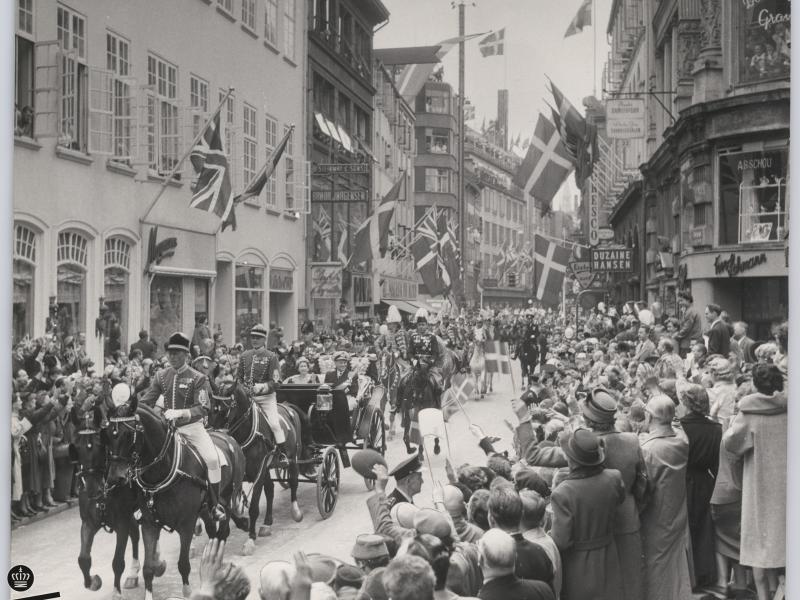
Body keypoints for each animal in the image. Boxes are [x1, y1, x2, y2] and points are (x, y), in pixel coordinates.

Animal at [70, 406, 152, 596]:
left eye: (100, 444)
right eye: (76, 447)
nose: (92, 489)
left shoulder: (121, 523)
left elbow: (117, 561)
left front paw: (116, 592)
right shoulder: (89, 522)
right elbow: (83, 559)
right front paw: (92, 581)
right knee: (135, 533)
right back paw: (133, 573)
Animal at [104, 398, 247, 600]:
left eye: (128, 434)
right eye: (108, 434)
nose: (115, 478)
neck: (163, 470)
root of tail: (228, 436)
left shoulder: (186, 524)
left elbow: (183, 564)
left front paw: (187, 590)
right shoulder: (149, 524)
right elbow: (148, 568)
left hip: (226, 499)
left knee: (222, 532)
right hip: (205, 509)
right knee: (213, 531)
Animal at [208, 382, 304, 556]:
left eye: (226, 408)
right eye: (211, 407)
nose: (214, 437)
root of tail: (287, 407)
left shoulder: (258, 473)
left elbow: (253, 507)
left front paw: (250, 539)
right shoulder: (236, 480)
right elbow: (228, 508)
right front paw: (242, 524)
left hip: (293, 459)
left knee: (293, 481)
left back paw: (296, 511)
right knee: (271, 489)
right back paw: (267, 523)